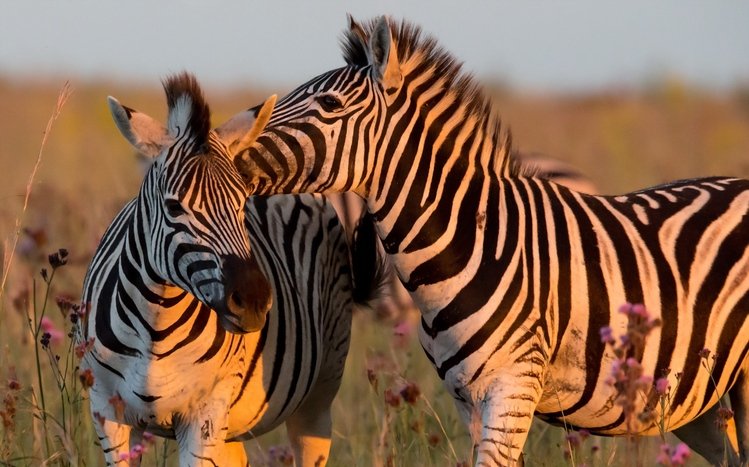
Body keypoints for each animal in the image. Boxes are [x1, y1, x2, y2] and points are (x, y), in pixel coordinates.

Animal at [80, 73, 383, 466]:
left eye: (242, 204)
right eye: (174, 208)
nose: (254, 302)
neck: (156, 326)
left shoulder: (204, 416)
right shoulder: (106, 412)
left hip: (320, 389)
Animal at [234, 16, 749, 466]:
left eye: (330, 107)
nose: (227, 153)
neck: (472, 240)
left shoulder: (513, 388)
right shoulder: (469, 399)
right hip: (703, 397)